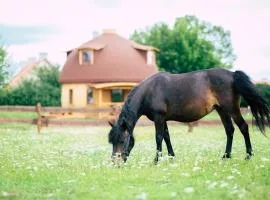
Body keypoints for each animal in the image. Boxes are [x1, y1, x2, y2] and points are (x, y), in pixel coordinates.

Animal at [108, 68, 270, 162]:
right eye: (112, 142)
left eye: (121, 141)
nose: (116, 163)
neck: (149, 91)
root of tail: (232, 74)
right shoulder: (163, 119)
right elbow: (167, 137)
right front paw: (171, 157)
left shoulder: (159, 118)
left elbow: (159, 137)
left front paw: (156, 160)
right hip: (222, 110)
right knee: (229, 130)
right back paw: (226, 156)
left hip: (231, 109)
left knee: (243, 127)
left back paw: (248, 155)